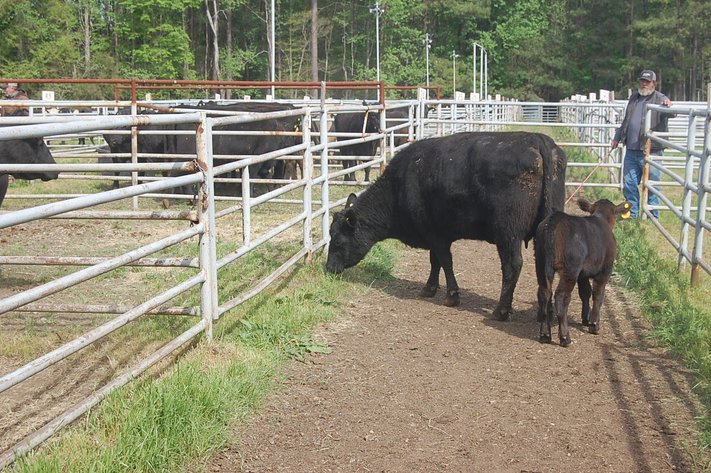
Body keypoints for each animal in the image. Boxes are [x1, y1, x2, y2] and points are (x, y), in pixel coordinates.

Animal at [326, 131, 568, 321]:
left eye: (337, 240)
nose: (328, 268)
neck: (401, 184)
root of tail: (537, 139)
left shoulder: (436, 235)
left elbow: (445, 262)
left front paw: (451, 296)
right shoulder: (435, 235)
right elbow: (435, 262)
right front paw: (429, 288)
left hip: (508, 234)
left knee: (512, 266)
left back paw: (501, 311)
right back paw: (545, 313)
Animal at [534, 198, 631, 346]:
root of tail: (554, 220)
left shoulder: (582, 274)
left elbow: (585, 292)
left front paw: (586, 318)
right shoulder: (605, 271)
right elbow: (598, 294)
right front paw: (594, 324)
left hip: (540, 263)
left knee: (544, 293)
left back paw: (545, 335)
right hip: (570, 270)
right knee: (561, 296)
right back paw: (565, 337)